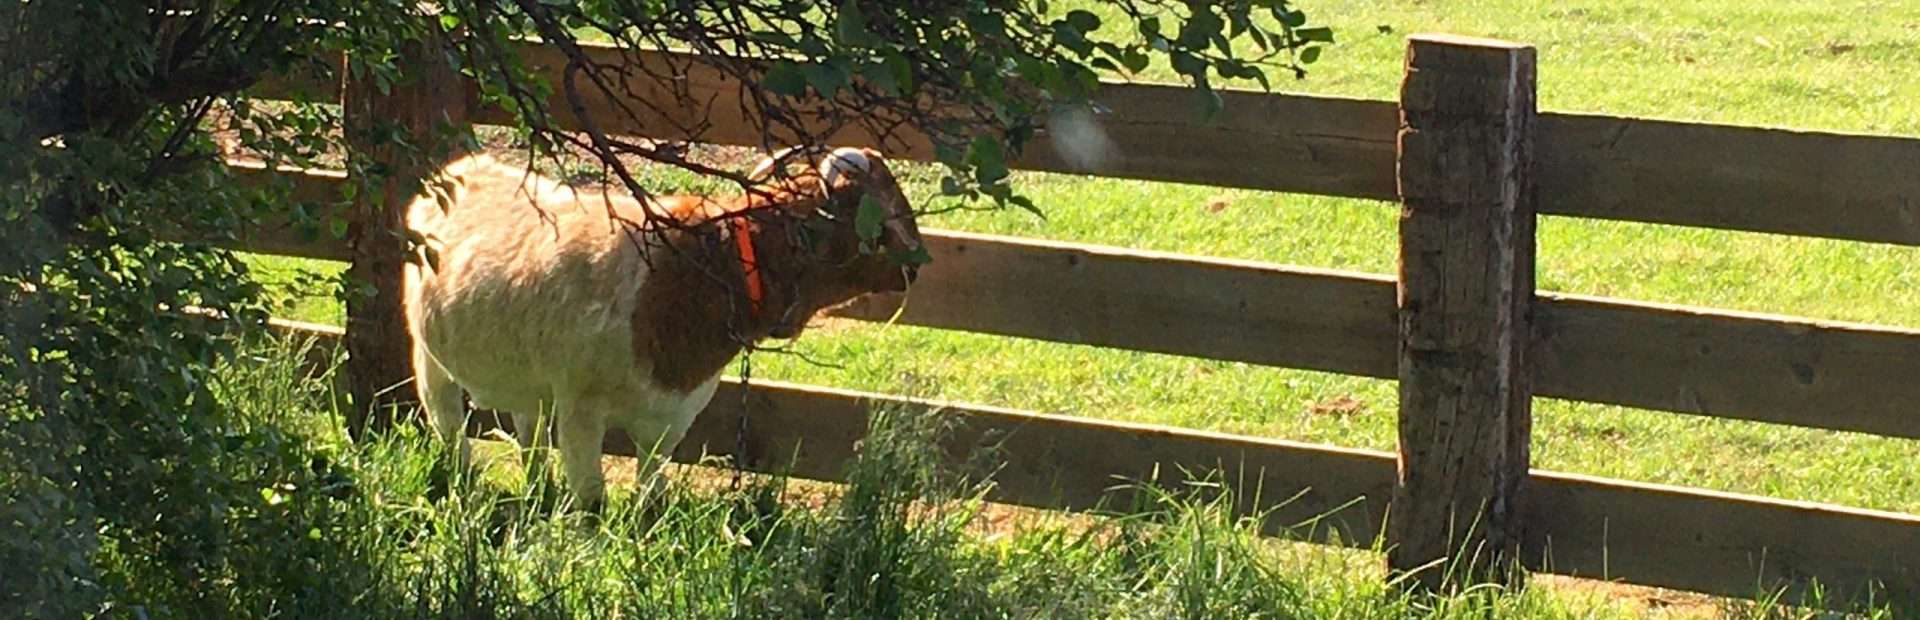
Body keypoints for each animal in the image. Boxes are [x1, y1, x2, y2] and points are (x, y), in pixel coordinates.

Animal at [401, 147, 924, 508]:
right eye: (877, 218)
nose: (917, 264)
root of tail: (461, 168)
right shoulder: (580, 409)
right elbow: (591, 503)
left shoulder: (671, 416)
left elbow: (651, 497)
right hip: (430, 361)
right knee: (450, 428)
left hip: (527, 381)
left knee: (528, 437)